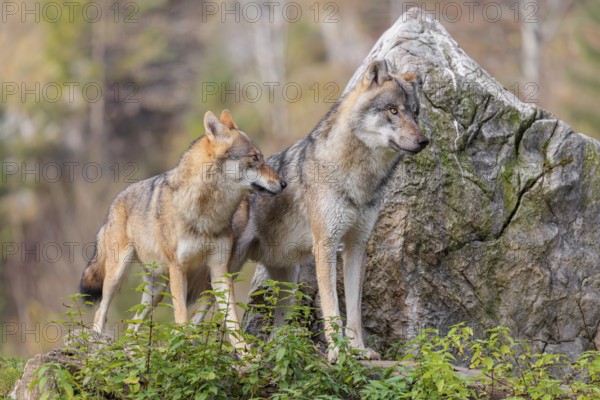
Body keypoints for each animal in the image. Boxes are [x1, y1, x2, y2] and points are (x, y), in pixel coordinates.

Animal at [79, 109, 286, 350]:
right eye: (254, 158)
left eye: (261, 157)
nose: (284, 184)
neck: (208, 213)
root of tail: (114, 203)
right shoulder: (178, 268)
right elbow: (181, 316)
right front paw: (184, 343)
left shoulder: (219, 270)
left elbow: (231, 319)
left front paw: (245, 352)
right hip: (118, 274)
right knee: (100, 311)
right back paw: (97, 341)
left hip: (155, 292)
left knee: (132, 326)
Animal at [229, 60, 426, 362]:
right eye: (393, 110)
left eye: (415, 113)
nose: (424, 141)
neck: (358, 178)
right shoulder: (326, 244)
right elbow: (332, 307)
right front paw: (337, 352)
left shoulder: (356, 246)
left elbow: (354, 310)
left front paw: (359, 350)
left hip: (288, 280)